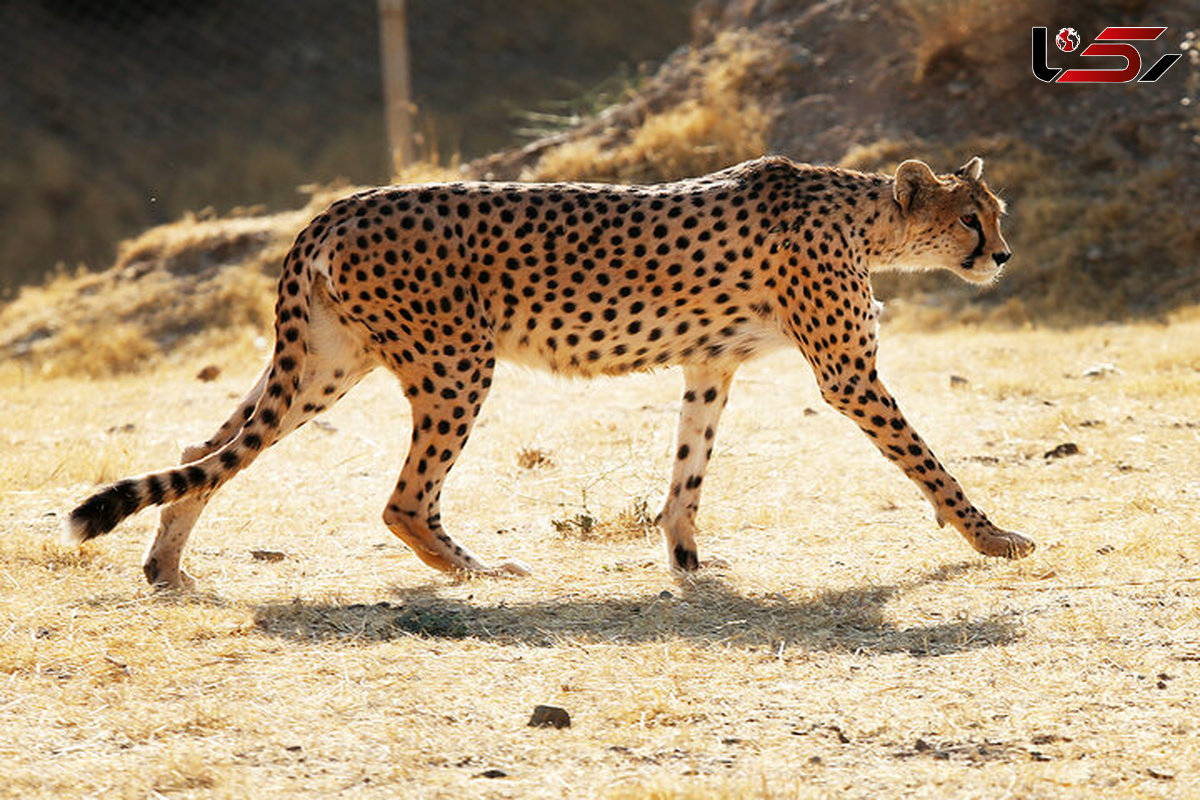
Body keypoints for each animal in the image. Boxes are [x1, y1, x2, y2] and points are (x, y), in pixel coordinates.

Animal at [70, 155, 1036, 587]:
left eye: (994, 213)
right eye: (970, 218)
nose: (1002, 256)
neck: (866, 217)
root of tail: (337, 206)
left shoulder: (710, 364)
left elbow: (688, 470)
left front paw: (685, 558)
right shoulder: (847, 375)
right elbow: (928, 462)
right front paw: (992, 536)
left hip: (325, 365)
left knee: (207, 450)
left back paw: (165, 567)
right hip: (455, 363)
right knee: (401, 499)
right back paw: (478, 572)